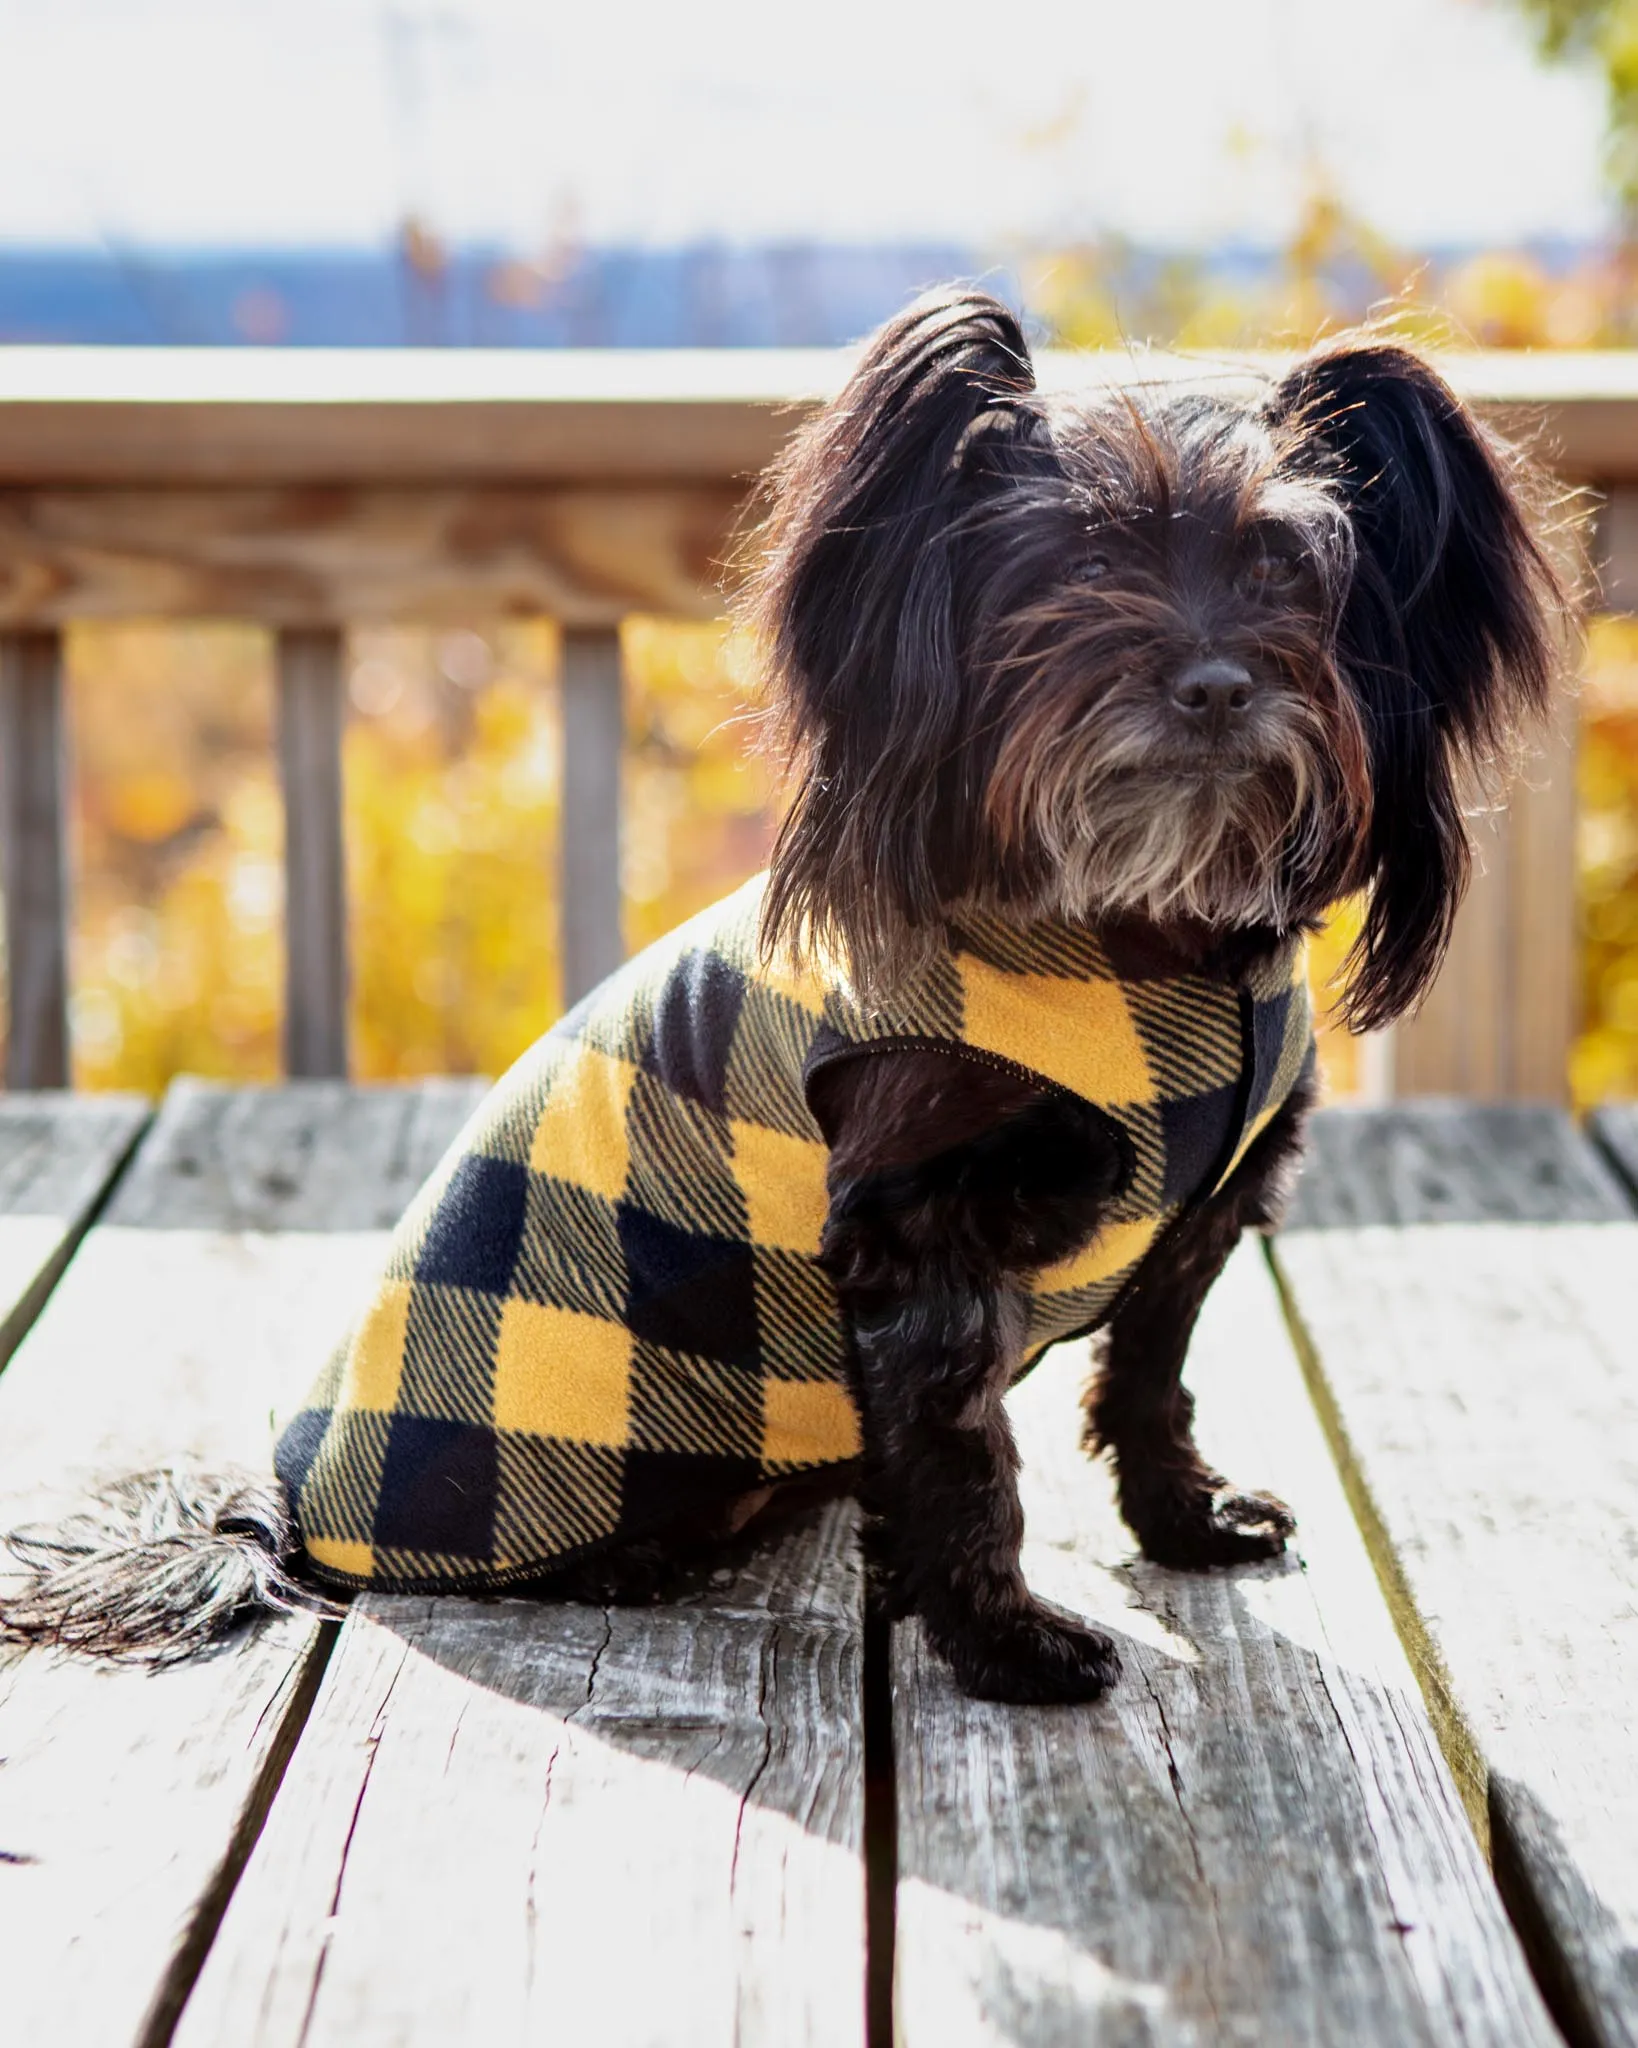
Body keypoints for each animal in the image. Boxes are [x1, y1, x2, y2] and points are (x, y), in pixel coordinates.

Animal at [0, 284, 1564, 1695]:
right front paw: (1006, 1642)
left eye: (1286, 571)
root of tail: (277, 1519)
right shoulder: (924, 1238)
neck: (1143, 938)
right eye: (1076, 565)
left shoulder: (1195, 1220)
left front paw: (1184, 1521)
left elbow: (1147, 1379)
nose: (1216, 681)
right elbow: (966, 1454)